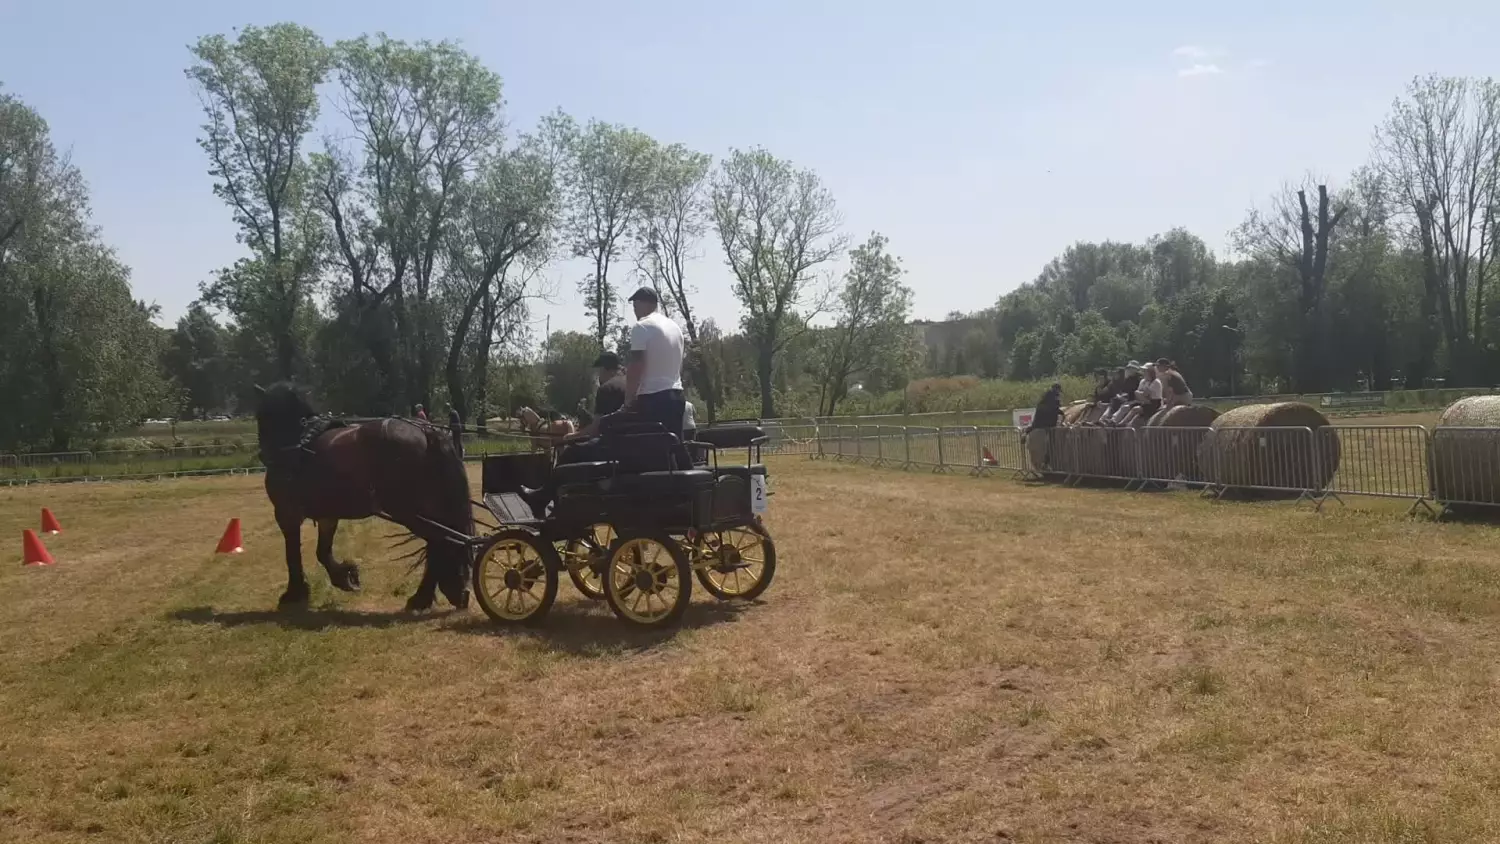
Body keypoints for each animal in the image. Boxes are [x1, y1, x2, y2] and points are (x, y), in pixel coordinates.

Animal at [252, 383, 474, 614]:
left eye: (261, 415)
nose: (263, 455)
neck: (298, 440)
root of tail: (426, 431)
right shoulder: (327, 515)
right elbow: (323, 551)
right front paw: (346, 577)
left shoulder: (287, 513)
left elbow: (293, 553)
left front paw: (294, 593)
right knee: (446, 542)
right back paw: (445, 592)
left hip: (408, 512)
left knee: (440, 542)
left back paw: (423, 598)